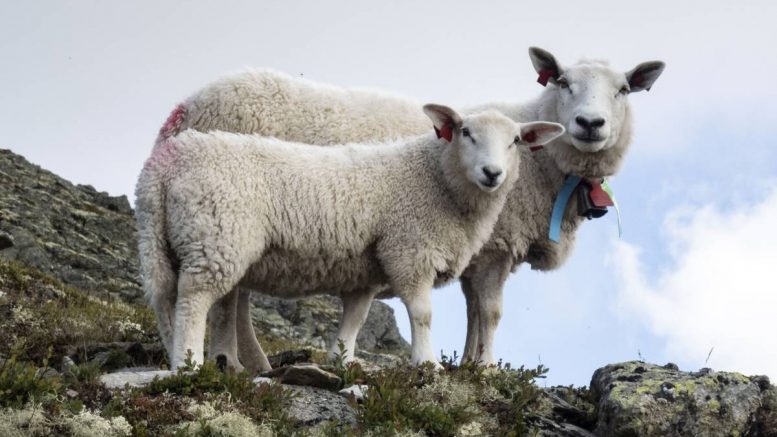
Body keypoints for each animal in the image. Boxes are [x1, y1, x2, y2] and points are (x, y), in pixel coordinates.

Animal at [136, 103, 565, 369]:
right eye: (466, 132)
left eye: (515, 141)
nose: (493, 173)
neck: (436, 180)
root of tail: (163, 166)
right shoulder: (410, 251)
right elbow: (422, 314)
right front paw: (426, 363)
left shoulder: (367, 270)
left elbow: (355, 318)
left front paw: (343, 360)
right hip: (215, 237)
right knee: (193, 301)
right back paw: (190, 363)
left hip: (170, 241)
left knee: (167, 298)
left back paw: (182, 357)